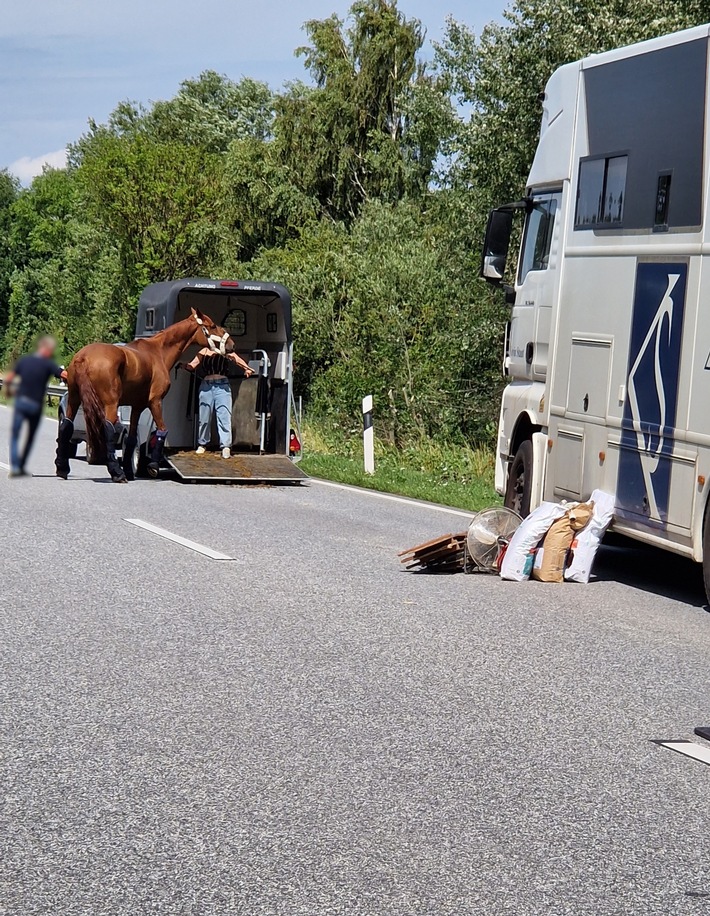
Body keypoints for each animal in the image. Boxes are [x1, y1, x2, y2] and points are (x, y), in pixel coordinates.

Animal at [56, 308, 234, 484]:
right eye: (212, 326)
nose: (231, 344)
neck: (158, 352)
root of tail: (83, 357)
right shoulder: (155, 402)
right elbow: (162, 430)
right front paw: (152, 466)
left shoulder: (137, 406)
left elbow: (132, 438)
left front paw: (129, 471)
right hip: (110, 404)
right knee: (108, 430)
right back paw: (116, 473)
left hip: (74, 400)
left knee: (66, 425)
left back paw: (62, 468)